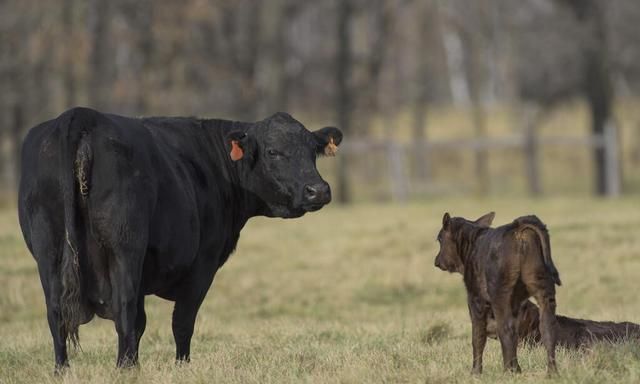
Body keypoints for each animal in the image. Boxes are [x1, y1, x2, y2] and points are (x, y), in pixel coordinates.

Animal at [17, 106, 342, 370]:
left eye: (313, 150)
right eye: (273, 151)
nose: (318, 190)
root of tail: (81, 115)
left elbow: (142, 323)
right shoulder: (203, 265)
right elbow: (181, 322)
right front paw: (181, 367)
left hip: (48, 250)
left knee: (56, 312)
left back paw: (62, 370)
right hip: (124, 248)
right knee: (123, 308)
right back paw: (124, 368)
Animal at [436, 212, 560, 374]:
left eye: (439, 238)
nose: (437, 261)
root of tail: (518, 228)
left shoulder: (475, 298)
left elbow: (478, 336)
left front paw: (475, 372)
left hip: (500, 293)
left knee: (506, 328)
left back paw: (508, 371)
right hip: (544, 287)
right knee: (547, 326)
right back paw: (551, 372)